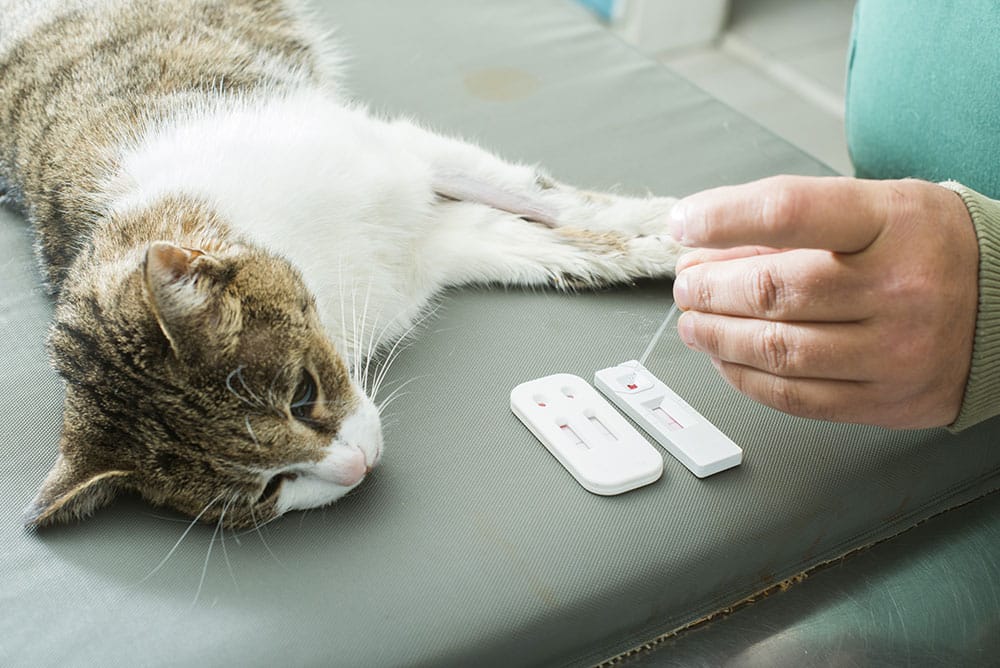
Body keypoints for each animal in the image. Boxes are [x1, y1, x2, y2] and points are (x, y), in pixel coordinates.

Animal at [0, 1, 680, 532]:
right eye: (269, 489)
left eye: (303, 396)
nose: (356, 468)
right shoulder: (440, 244)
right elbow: (564, 250)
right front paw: (655, 248)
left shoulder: (396, 150)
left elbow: (548, 198)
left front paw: (676, 225)